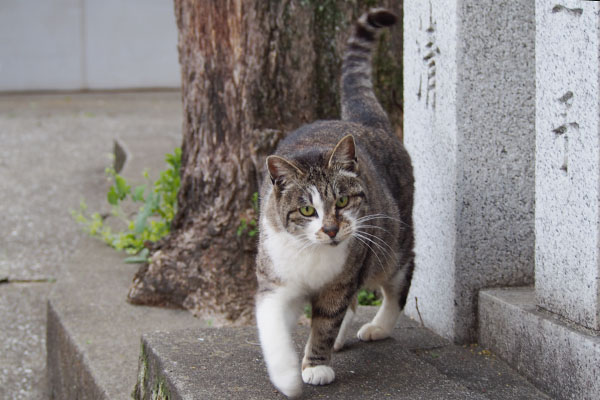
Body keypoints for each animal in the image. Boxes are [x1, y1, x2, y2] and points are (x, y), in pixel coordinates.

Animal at [253, 7, 412, 398]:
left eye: (342, 200)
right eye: (307, 209)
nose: (330, 230)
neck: (313, 255)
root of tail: (366, 122)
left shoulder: (342, 278)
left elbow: (325, 321)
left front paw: (316, 366)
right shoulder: (274, 280)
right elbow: (273, 328)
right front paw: (288, 376)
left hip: (391, 246)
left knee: (397, 284)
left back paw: (378, 326)